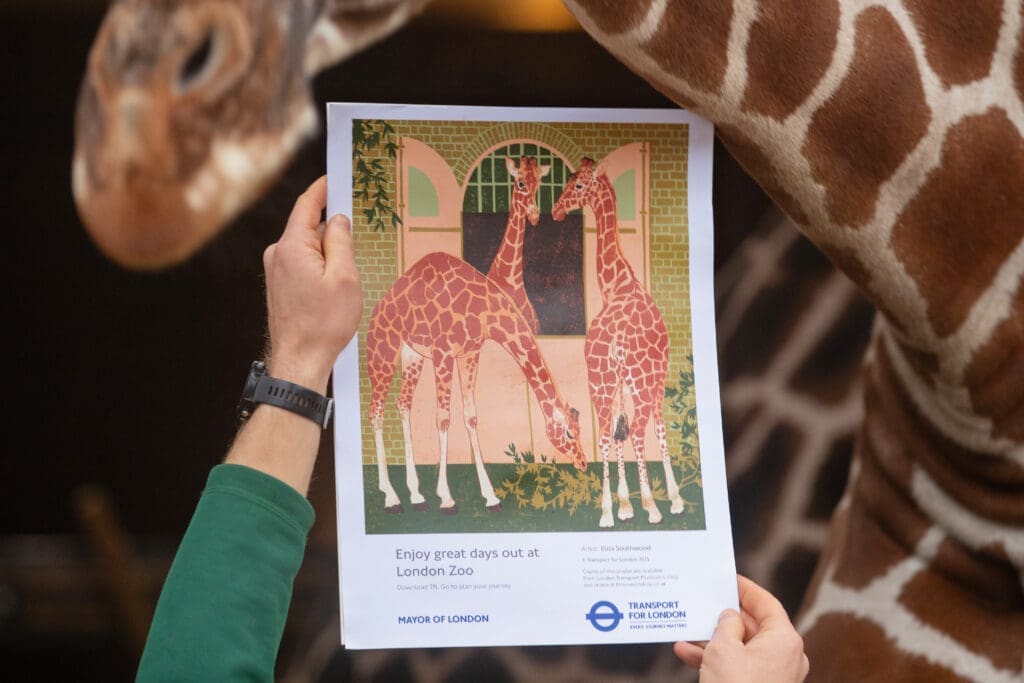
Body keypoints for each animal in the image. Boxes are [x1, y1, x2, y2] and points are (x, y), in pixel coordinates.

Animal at [366, 251, 587, 513]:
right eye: (569, 433)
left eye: (580, 430)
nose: (583, 463)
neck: (486, 313)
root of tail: (380, 304)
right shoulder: (443, 353)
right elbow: (443, 419)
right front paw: (447, 498)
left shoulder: (469, 353)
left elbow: (470, 417)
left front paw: (491, 497)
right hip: (384, 349)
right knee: (376, 410)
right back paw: (391, 497)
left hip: (412, 353)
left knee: (403, 403)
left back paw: (416, 495)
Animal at [552, 157, 685, 528]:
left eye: (578, 185)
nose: (555, 210)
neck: (619, 285)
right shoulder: (656, 377)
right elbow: (658, 430)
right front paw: (671, 499)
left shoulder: (622, 384)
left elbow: (618, 433)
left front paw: (625, 504)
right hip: (635, 383)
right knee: (638, 432)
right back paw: (652, 508)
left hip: (600, 382)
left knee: (605, 435)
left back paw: (607, 513)